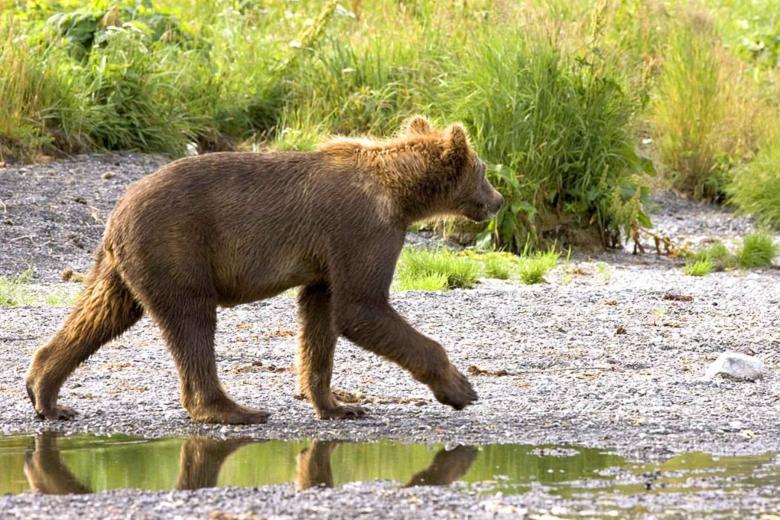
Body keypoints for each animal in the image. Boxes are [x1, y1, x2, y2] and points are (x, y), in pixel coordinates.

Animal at [25, 116, 505, 424]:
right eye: (483, 170)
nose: (499, 200)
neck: (400, 194)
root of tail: (116, 211)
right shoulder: (362, 231)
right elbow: (362, 307)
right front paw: (462, 388)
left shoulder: (327, 257)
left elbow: (320, 317)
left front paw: (338, 404)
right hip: (177, 247)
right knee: (191, 322)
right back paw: (233, 409)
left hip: (124, 265)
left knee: (101, 313)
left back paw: (46, 393)